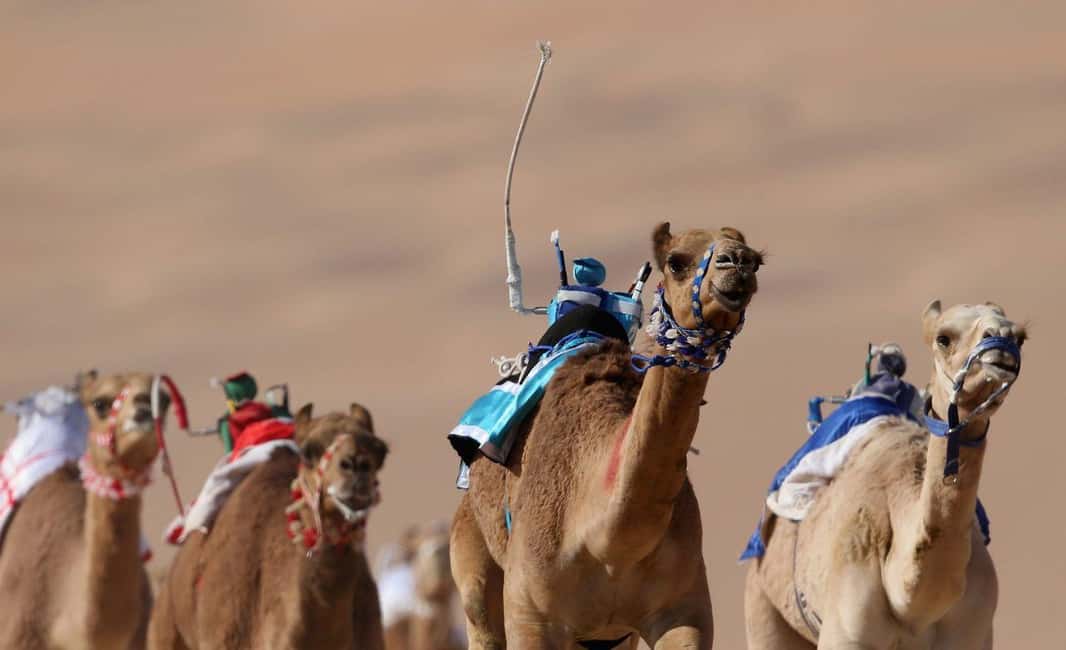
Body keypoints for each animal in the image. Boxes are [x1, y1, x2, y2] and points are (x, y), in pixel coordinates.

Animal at [451, 223, 762, 649]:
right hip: (473, 559)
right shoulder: (530, 615)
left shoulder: (684, 610)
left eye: (758, 259)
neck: (609, 541)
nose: (739, 262)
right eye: (676, 262)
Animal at [744, 301, 1026, 649]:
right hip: (762, 604)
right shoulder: (844, 633)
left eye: (1021, 337)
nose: (1003, 341)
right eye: (943, 338)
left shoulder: (974, 633)